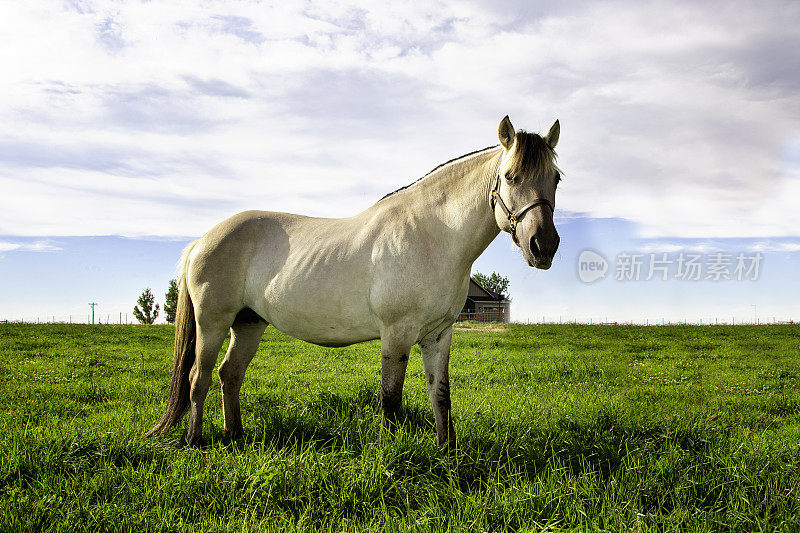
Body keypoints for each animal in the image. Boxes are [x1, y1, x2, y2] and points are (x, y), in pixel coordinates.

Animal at [145, 114, 564, 446]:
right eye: (509, 176)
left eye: (556, 178)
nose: (543, 245)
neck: (433, 234)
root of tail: (203, 240)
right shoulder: (396, 334)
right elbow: (391, 401)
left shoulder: (438, 335)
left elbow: (440, 397)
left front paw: (448, 453)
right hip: (212, 324)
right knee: (198, 377)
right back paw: (195, 440)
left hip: (249, 323)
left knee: (229, 374)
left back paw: (235, 434)